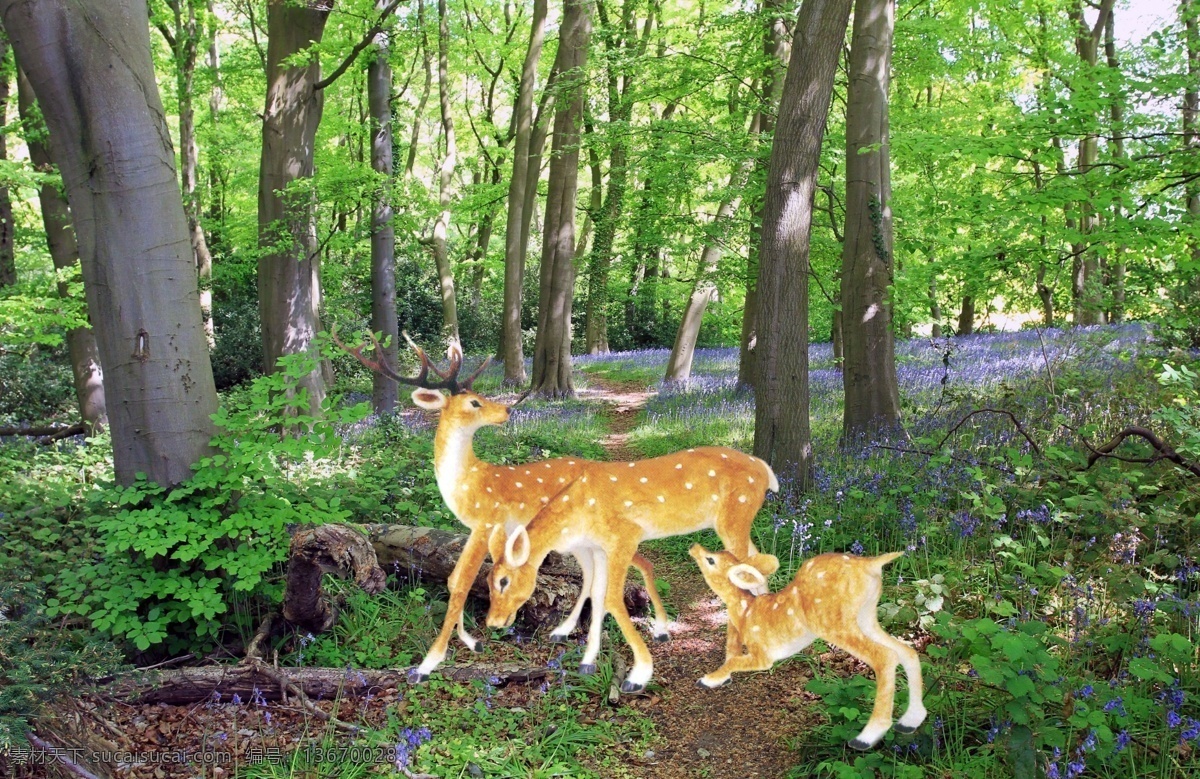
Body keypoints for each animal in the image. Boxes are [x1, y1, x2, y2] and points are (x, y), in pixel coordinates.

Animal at [335, 331, 670, 680]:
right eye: (474, 402)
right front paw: (474, 638)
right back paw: (572, 633)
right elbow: (459, 579)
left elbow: (462, 583)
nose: (508, 409)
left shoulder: (487, 520)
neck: (470, 479)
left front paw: (430, 661)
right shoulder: (484, 528)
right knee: (597, 572)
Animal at [485, 446, 780, 693]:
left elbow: (613, 599)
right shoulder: (600, 547)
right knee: (760, 563)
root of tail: (766, 470)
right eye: (487, 581)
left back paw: (722, 672)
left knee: (744, 574)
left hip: (735, 516)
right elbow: (598, 594)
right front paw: (587, 662)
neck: (580, 507)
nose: (493, 622)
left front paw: (638, 676)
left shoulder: (624, 537)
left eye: (503, 581)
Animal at [688, 543, 926, 750]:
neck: (746, 612)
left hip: (834, 623)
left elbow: (734, 661)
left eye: (711, 560)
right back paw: (910, 721)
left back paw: (866, 737)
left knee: (885, 656)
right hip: (866, 616)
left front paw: (708, 680)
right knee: (907, 651)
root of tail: (871, 564)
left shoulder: (763, 655)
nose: (694, 547)